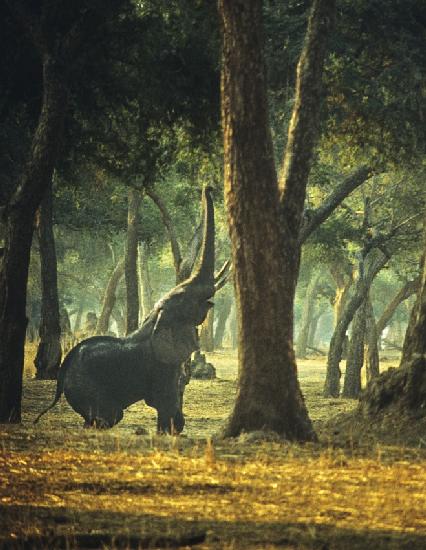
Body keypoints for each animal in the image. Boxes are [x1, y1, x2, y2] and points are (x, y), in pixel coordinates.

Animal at [34, 189, 221, 436]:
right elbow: (167, 396)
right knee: (109, 415)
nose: (207, 188)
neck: (155, 321)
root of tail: (60, 380)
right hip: (85, 384)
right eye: (185, 297)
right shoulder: (161, 363)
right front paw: (170, 432)